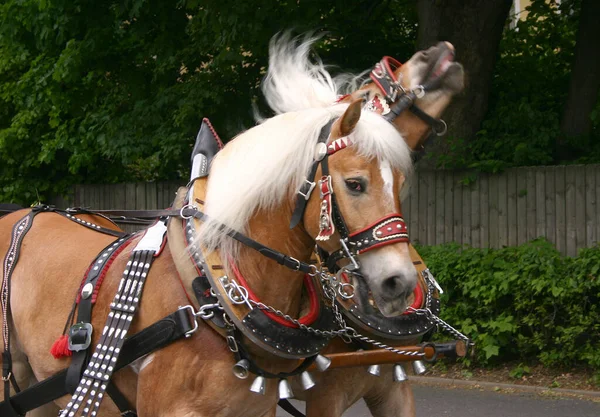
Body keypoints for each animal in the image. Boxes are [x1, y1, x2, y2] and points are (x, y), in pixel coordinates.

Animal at [1, 37, 464, 414]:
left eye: (400, 184)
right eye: (354, 184)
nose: (397, 282)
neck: (206, 299)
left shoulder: (386, 389)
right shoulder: (324, 395)